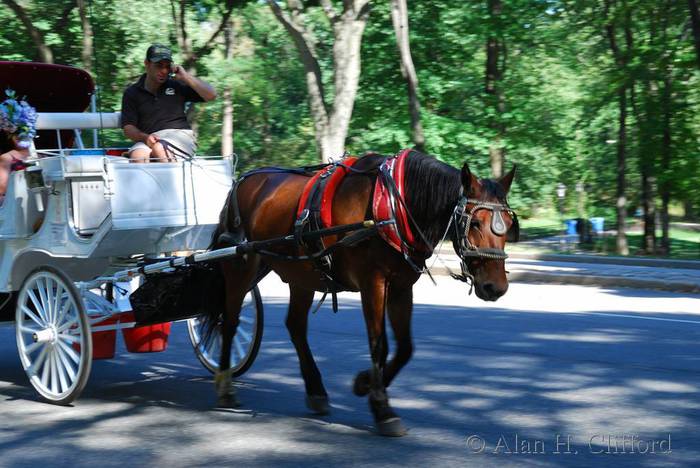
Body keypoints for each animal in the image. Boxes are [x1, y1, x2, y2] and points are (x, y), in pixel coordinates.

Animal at [205, 149, 516, 436]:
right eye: (474, 223)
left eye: (509, 224)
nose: (496, 287)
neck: (392, 208)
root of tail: (241, 182)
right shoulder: (373, 282)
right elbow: (379, 345)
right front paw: (382, 407)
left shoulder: (401, 286)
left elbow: (405, 348)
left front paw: (366, 384)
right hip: (242, 264)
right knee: (229, 320)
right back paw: (225, 385)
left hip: (301, 273)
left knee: (295, 326)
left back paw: (315, 390)